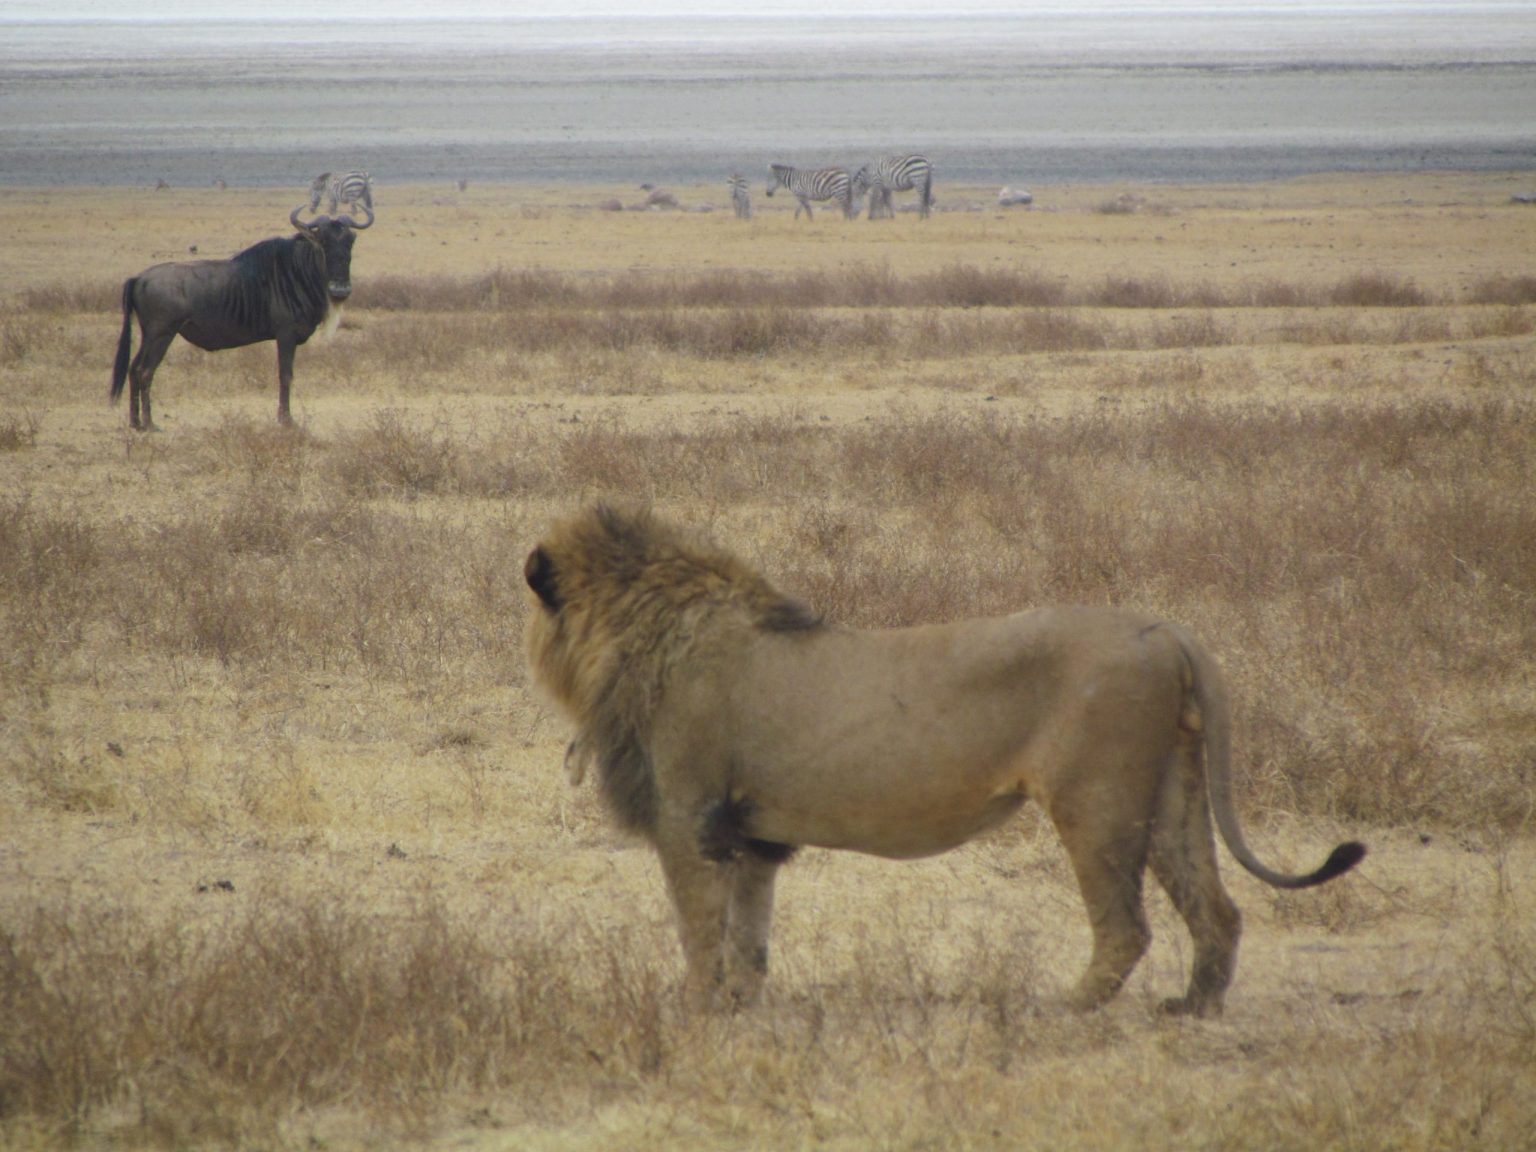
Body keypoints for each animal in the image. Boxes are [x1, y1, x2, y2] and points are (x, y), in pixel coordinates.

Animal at [523, 503, 1365, 1017]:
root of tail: (1167, 630)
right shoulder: (753, 836)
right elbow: (748, 938)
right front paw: (742, 1007)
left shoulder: (690, 820)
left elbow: (699, 928)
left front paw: (693, 1011)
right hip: (1171, 793)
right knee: (1216, 908)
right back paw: (1193, 1008)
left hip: (1096, 800)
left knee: (1126, 926)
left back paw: (1064, 1008)